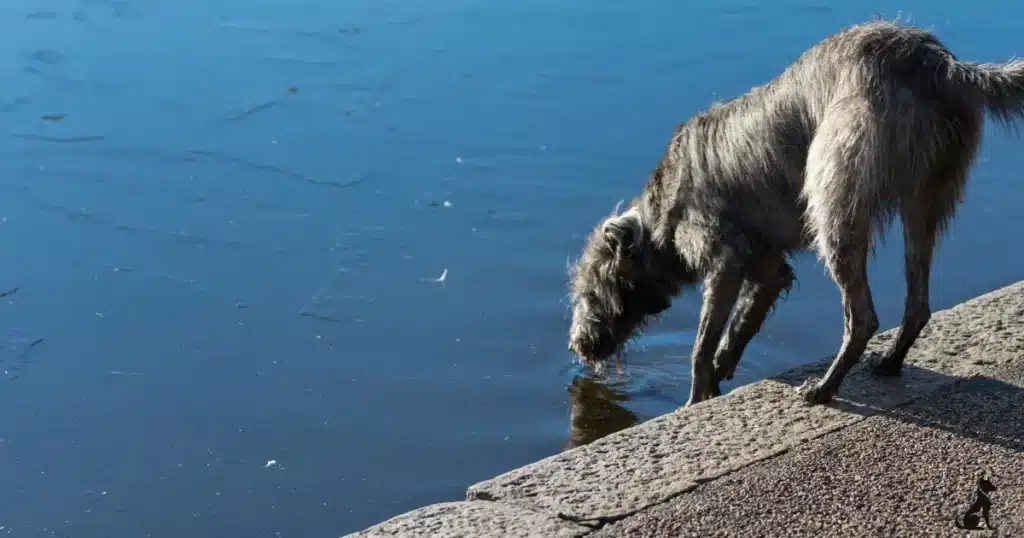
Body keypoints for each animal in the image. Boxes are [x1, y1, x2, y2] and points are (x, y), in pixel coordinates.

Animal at [569, 22, 1024, 407]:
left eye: (587, 291)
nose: (577, 345)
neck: (660, 215)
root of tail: (944, 67)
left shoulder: (724, 256)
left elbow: (702, 343)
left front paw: (697, 398)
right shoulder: (766, 267)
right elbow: (741, 324)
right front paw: (721, 373)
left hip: (836, 196)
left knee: (862, 316)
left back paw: (824, 388)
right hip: (926, 195)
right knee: (917, 303)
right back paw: (889, 363)